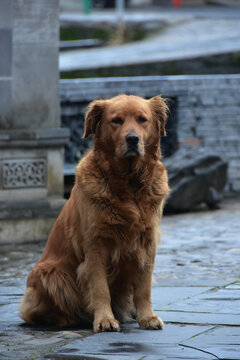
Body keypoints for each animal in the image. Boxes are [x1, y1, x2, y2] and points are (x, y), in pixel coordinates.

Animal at [19, 94, 170, 334]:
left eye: (142, 119)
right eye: (116, 120)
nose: (132, 139)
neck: (128, 184)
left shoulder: (147, 242)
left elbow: (143, 288)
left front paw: (147, 317)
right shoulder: (96, 246)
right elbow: (100, 289)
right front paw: (105, 320)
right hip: (50, 273)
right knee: (35, 313)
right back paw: (67, 319)